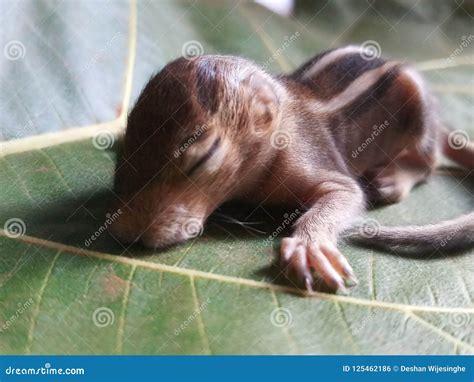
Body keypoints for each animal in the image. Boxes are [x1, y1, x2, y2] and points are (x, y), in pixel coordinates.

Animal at [108, 46, 474, 294]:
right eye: (122, 159)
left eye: (203, 157)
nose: (131, 232)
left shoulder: (309, 159)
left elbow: (345, 194)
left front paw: (310, 246)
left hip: (417, 109)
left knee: (427, 162)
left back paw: (396, 178)